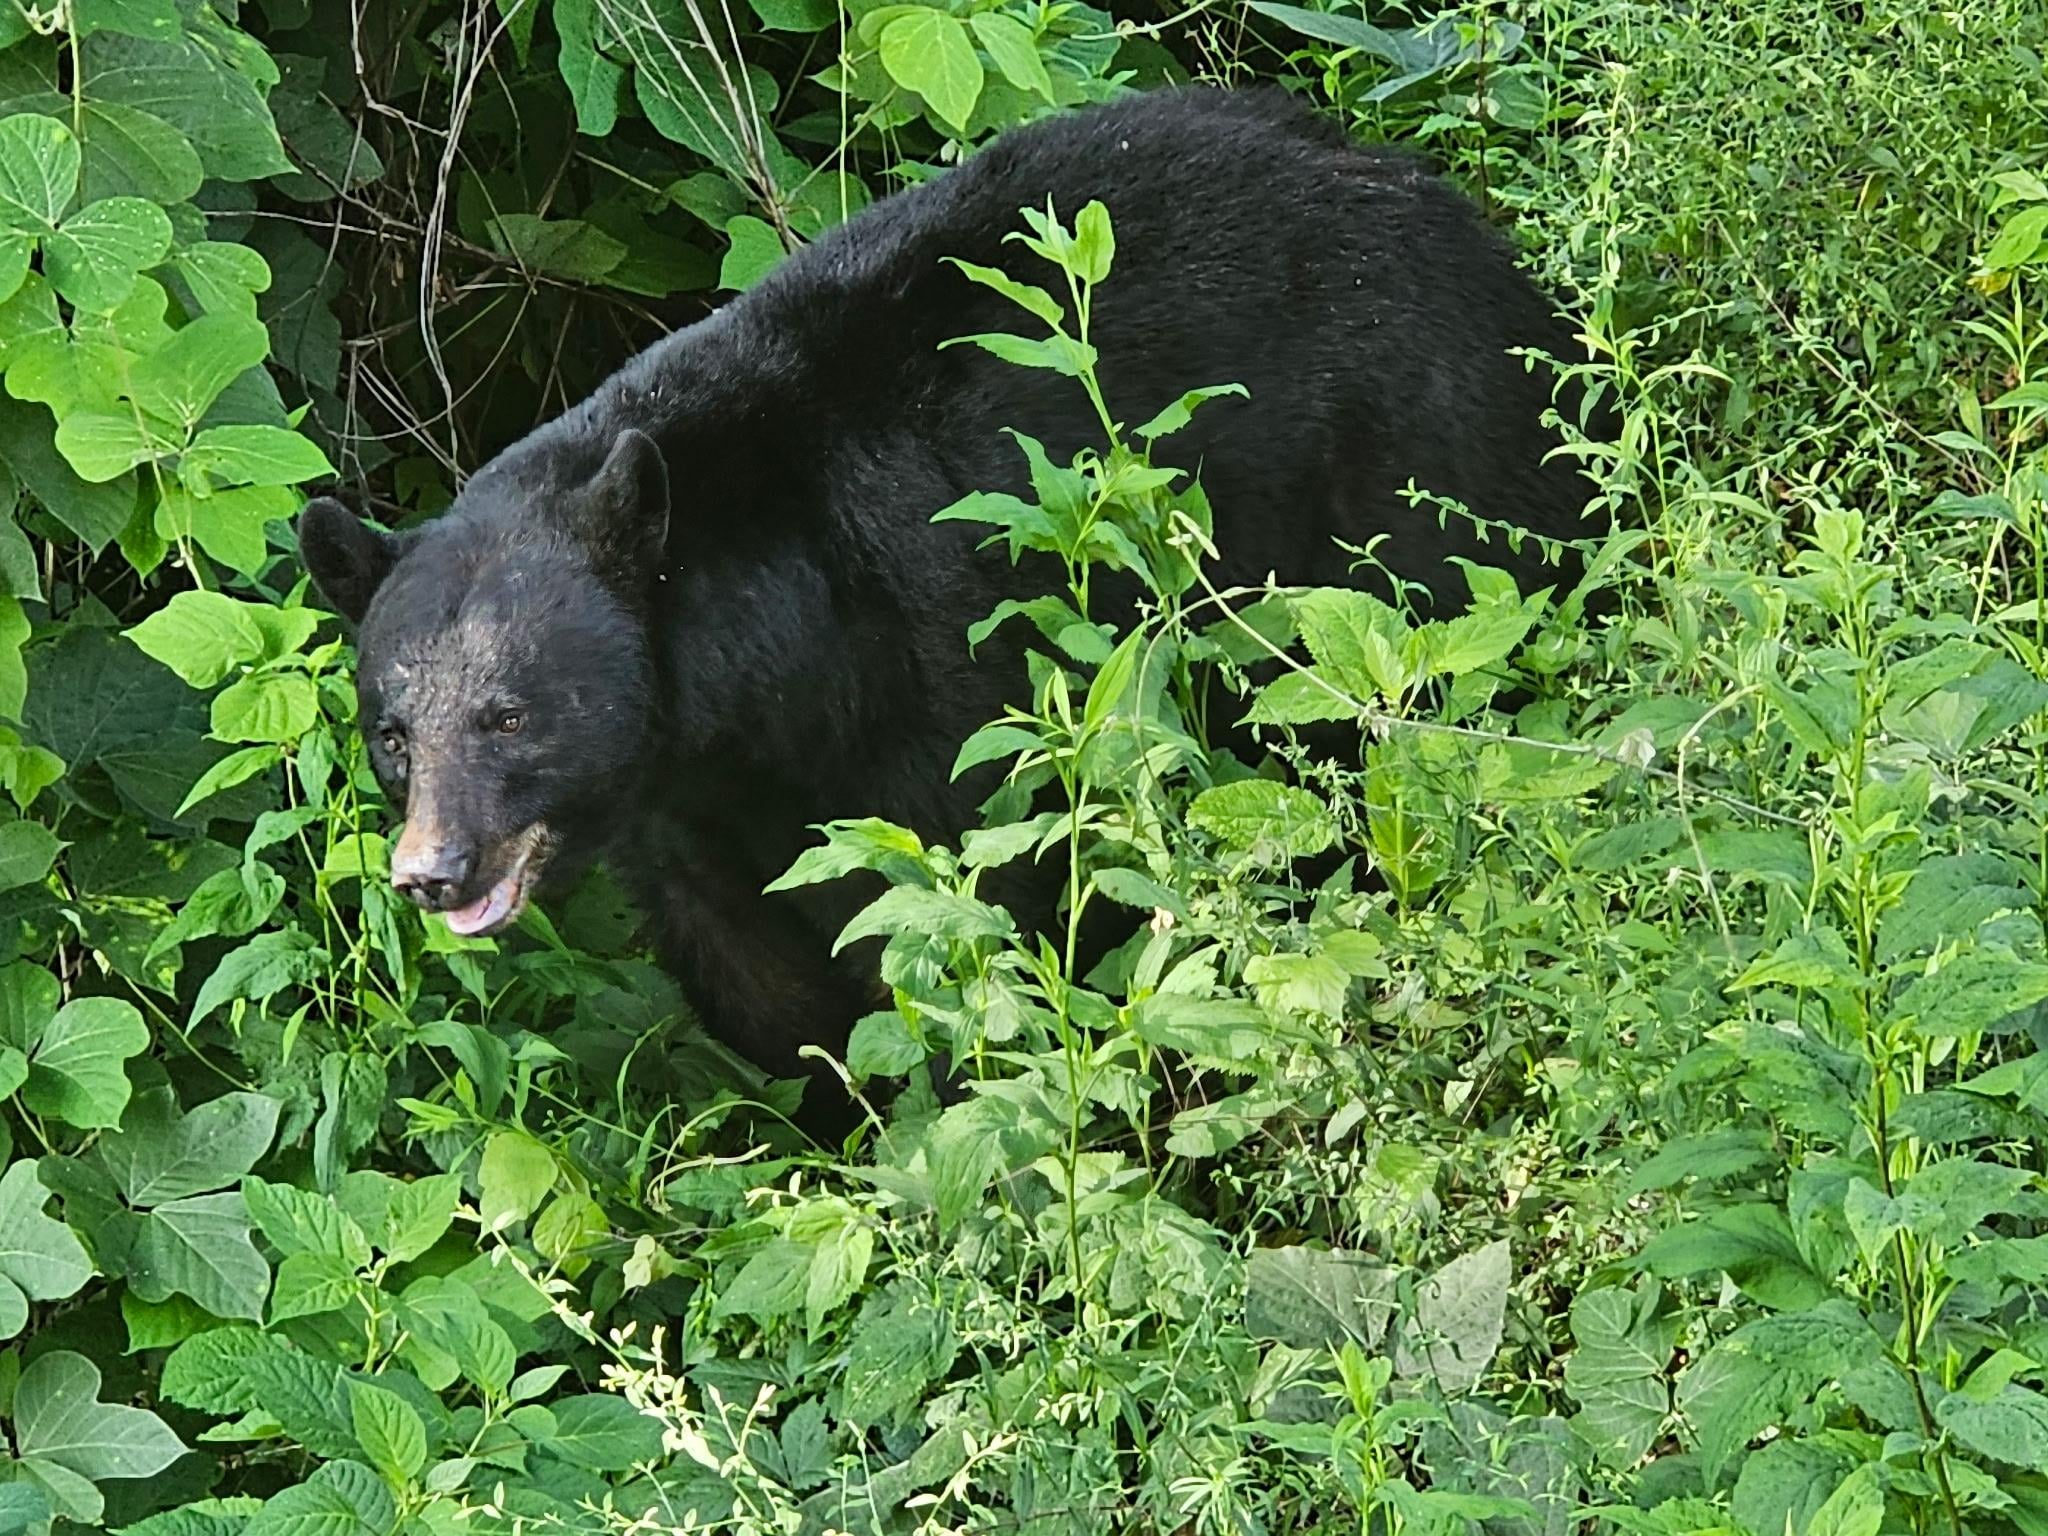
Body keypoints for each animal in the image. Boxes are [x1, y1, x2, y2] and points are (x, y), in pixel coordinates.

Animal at [296, 86, 1595, 1131]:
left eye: (512, 715)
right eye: (392, 732)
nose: (432, 872)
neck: (758, 669)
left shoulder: (933, 667)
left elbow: (979, 913)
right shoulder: (691, 817)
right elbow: (765, 986)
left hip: (1410, 483)